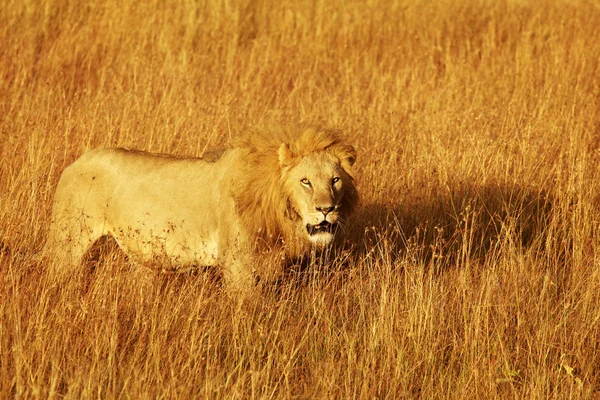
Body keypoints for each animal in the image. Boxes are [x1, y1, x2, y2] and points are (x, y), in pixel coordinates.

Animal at [47, 123, 358, 292]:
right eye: (305, 181)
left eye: (335, 180)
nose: (326, 209)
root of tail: (76, 162)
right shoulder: (237, 263)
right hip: (68, 241)